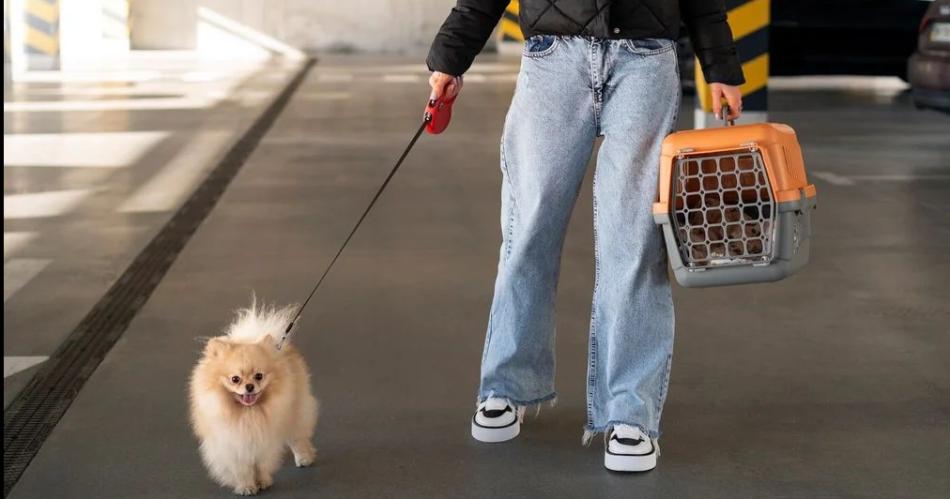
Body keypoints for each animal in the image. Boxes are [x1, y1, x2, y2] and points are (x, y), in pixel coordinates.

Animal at [190, 300, 320, 496]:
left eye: (259, 376)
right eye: (235, 379)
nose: (249, 386)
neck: (248, 414)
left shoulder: (265, 439)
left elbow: (261, 464)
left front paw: (263, 481)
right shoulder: (232, 445)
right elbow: (242, 469)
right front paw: (246, 486)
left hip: (295, 412)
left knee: (297, 437)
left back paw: (304, 458)